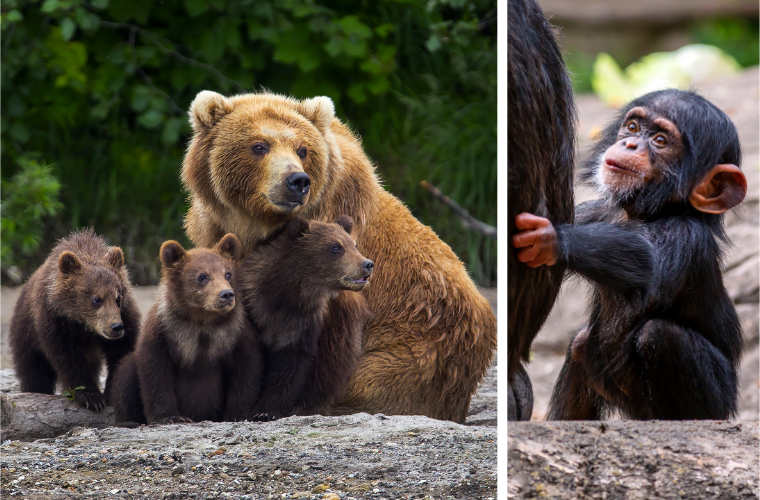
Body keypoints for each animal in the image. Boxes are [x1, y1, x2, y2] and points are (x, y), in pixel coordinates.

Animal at [8, 229, 141, 411]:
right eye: (96, 299)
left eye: (118, 297)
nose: (116, 327)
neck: (83, 323)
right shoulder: (55, 321)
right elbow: (68, 359)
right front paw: (91, 397)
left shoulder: (125, 316)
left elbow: (120, 353)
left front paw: (111, 393)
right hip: (26, 333)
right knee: (33, 371)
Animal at [111, 233, 262, 424]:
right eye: (202, 276)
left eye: (228, 273)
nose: (226, 294)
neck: (202, 320)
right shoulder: (165, 330)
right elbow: (155, 371)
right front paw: (170, 416)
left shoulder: (235, 332)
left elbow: (246, 369)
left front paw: (236, 414)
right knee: (126, 372)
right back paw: (128, 420)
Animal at [237, 216, 372, 420]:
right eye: (336, 247)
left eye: (354, 244)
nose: (367, 264)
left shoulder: (302, 324)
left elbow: (290, 368)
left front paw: (267, 411)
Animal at [513, 89, 747, 420]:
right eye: (633, 127)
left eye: (661, 140)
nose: (630, 144)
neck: (645, 214)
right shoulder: (594, 212)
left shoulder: (687, 235)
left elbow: (650, 265)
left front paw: (551, 239)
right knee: (581, 347)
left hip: (717, 403)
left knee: (660, 335)